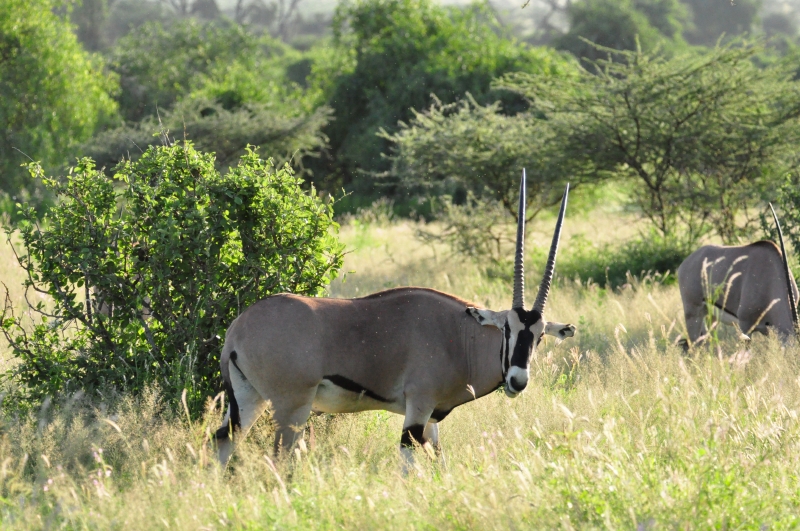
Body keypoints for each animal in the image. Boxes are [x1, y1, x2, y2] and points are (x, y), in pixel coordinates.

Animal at [214, 173, 576, 466]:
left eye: (540, 335)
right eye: (507, 329)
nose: (518, 380)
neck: (460, 335)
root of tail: (237, 331)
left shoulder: (433, 419)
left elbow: (439, 462)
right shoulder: (419, 406)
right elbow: (408, 460)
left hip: (248, 398)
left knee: (223, 440)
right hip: (291, 405)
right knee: (280, 455)